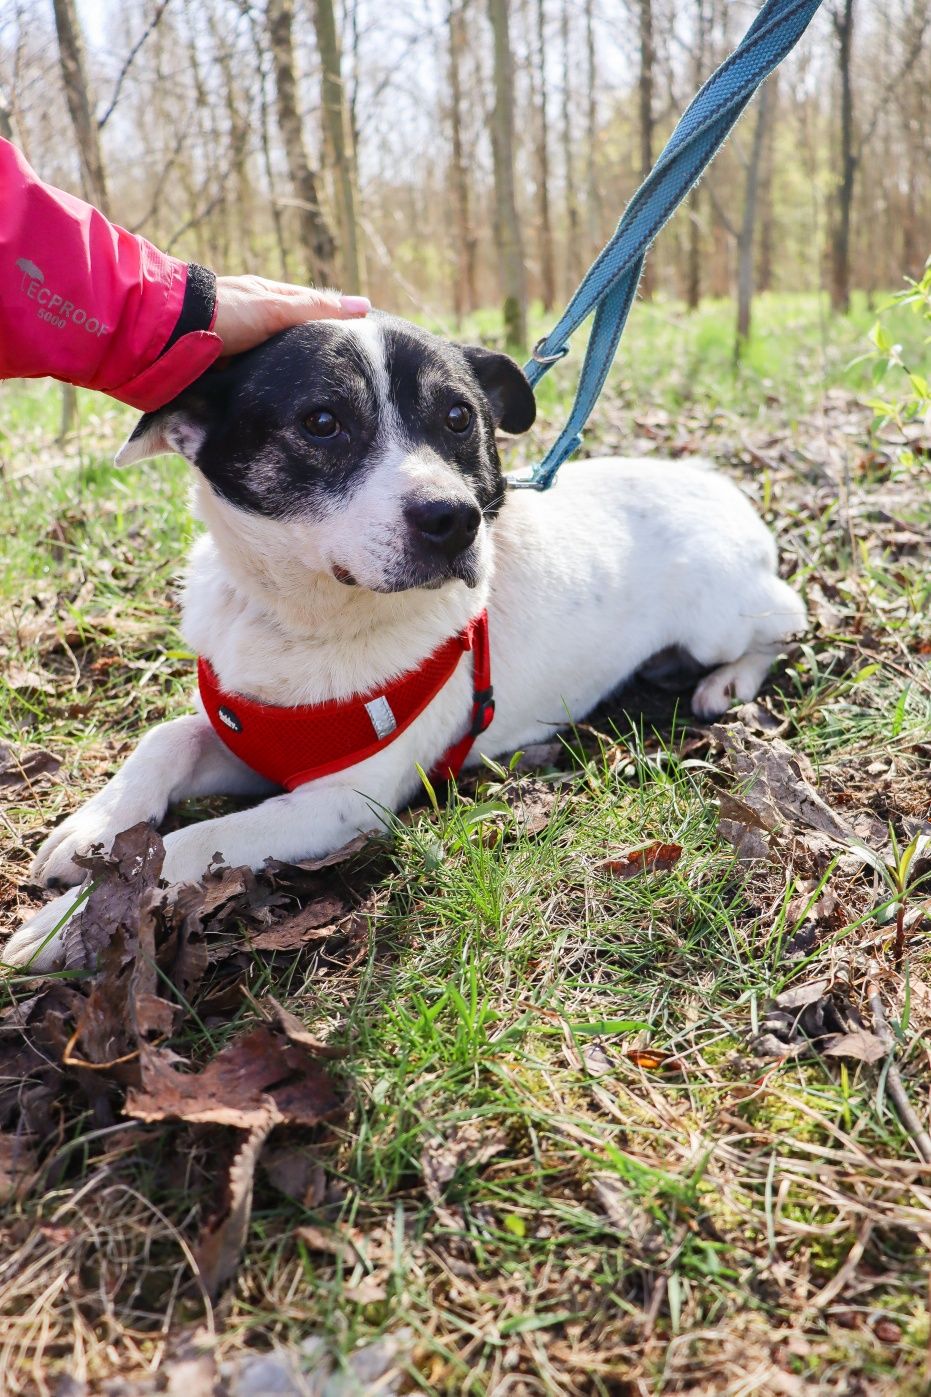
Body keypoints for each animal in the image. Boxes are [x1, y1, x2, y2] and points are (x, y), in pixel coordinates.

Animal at [5, 317, 805, 972]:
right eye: (321, 421)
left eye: (458, 416)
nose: (454, 520)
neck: (305, 619)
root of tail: (713, 481)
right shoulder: (251, 730)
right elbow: (165, 738)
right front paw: (90, 829)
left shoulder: (338, 804)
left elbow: (193, 843)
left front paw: (60, 927)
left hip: (720, 612)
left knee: (787, 616)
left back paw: (728, 683)